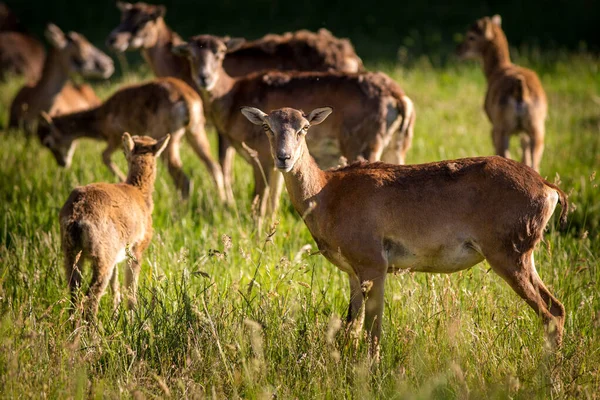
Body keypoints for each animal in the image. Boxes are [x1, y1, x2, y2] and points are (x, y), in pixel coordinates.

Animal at [36, 77, 227, 203]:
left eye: (48, 142)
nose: (62, 163)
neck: (100, 119)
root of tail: (188, 100)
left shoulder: (115, 136)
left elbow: (104, 155)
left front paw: (121, 178)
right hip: (196, 130)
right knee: (214, 166)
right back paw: (224, 202)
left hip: (167, 134)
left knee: (183, 178)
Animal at [59, 133, 169, 318]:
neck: (140, 193)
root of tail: (77, 216)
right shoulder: (137, 250)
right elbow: (130, 291)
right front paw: (132, 319)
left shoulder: (118, 255)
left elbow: (115, 287)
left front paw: (116, 315)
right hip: (102, 257)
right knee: (91, 298)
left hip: (71, 254)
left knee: (75, 295)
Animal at [240, 106, 568, 360]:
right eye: (268, 126)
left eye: (304, 127)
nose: (284, 158)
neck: (328, 191)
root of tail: (548, 189)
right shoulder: (353, 273)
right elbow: (351, 325)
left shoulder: (375, 266)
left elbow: (373, 329)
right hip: (525, 259)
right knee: (558, 308)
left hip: (508, 257)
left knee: (549, 315)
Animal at [458, 15, 548, 172]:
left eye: (471, 36)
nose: (458, 50)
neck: (496, 70)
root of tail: (520, 91)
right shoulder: (523, 132)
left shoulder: (494, 125)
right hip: (536, 127)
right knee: (534, 163)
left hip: (501, 128)